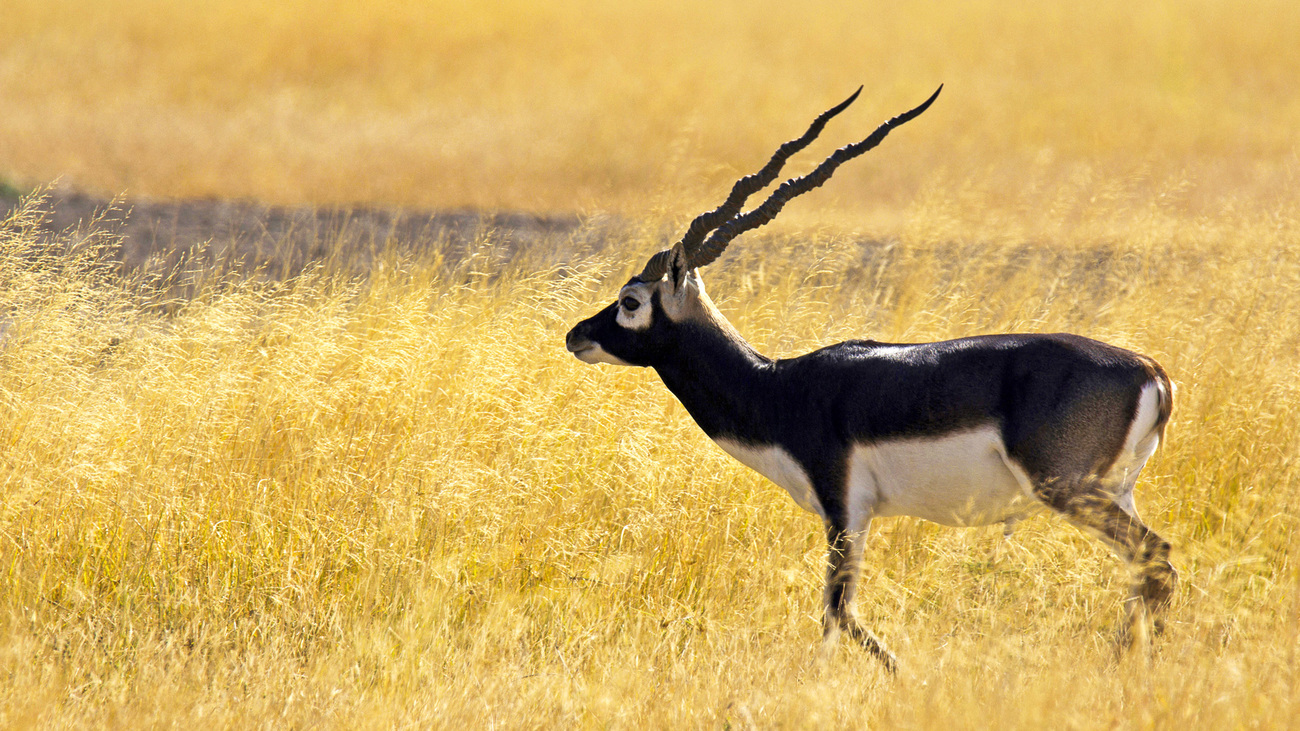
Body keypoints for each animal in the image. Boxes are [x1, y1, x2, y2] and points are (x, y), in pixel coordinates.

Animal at [564, 86, 1175, 671]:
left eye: (630, 301)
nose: (576, 336)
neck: (779, 387)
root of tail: (1152, 372)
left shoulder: (844, 505)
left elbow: (838, 612)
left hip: (1066, 488)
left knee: (1155, 558)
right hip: (1115, 490)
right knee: (1149, 566)